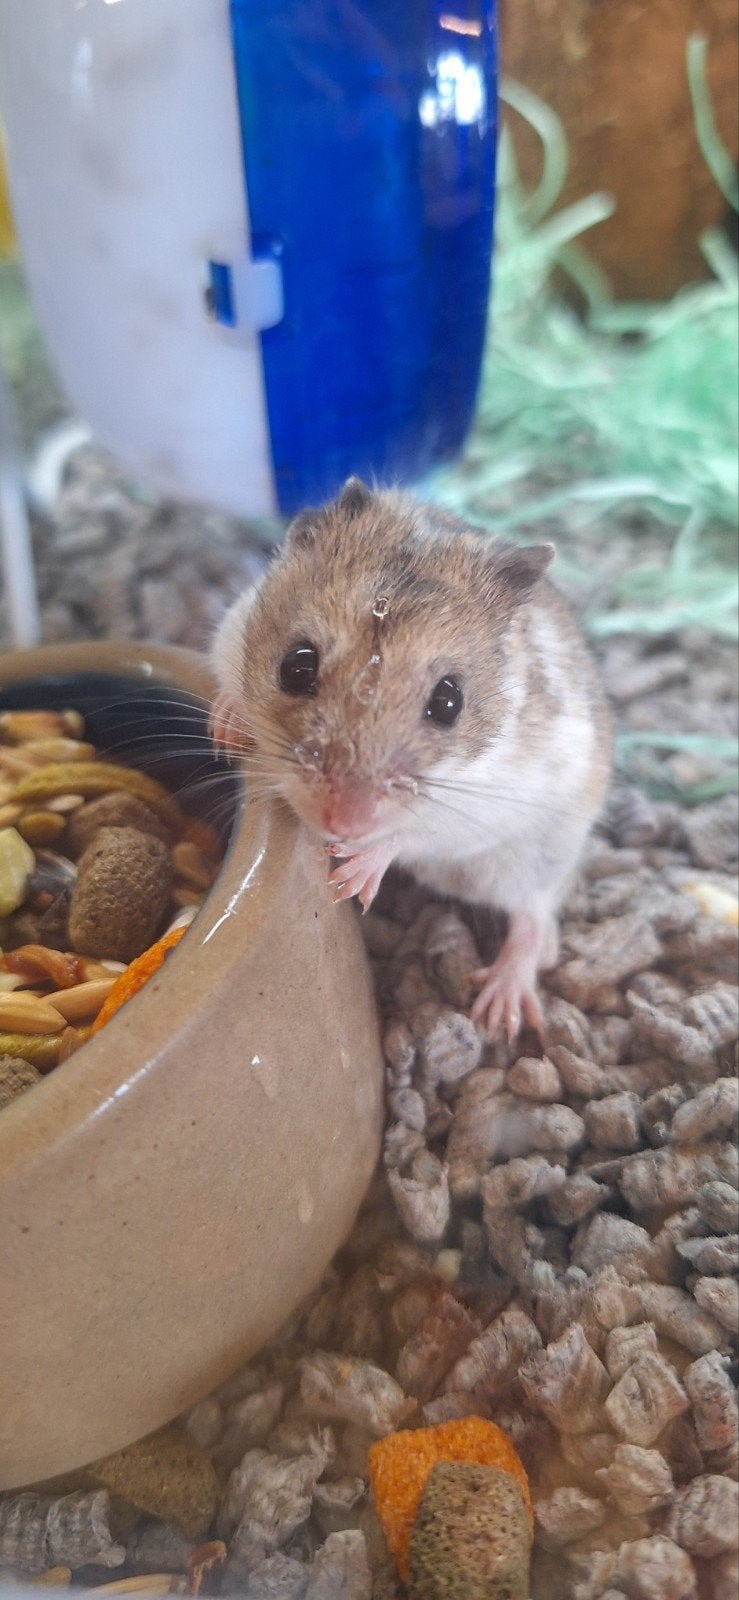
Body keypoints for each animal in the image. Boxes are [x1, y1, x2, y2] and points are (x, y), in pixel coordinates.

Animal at [211, 478, 611, 1039]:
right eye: (295, 665)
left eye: (449, 701)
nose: (341, 825)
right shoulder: (230, 629)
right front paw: (223, 730)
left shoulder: (483, 805)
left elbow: (411, 831)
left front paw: (351, 879)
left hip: (528, 861)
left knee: (534, 920)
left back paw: (499, 1011)